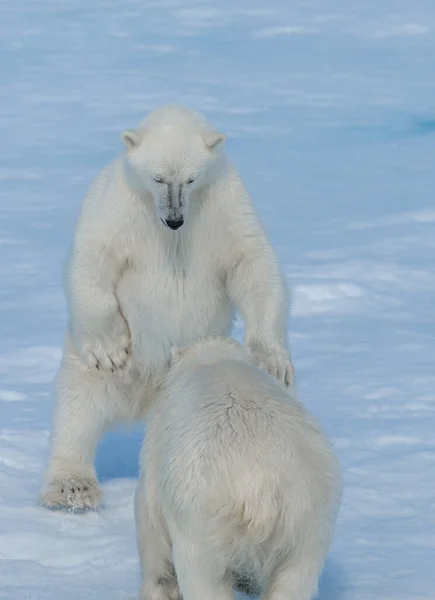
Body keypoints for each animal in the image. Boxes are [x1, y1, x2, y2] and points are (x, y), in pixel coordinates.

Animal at [41, 105, 294, 508]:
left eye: (190, 179)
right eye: (157, 178)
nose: (174, 220)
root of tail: (145, 398)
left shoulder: (224, 204)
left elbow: (252, 263)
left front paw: (271, 358)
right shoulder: (117, 207)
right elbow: (92, 260)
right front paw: (110, 349)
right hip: (97, 365)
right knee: (78, 405)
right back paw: (71, 488)